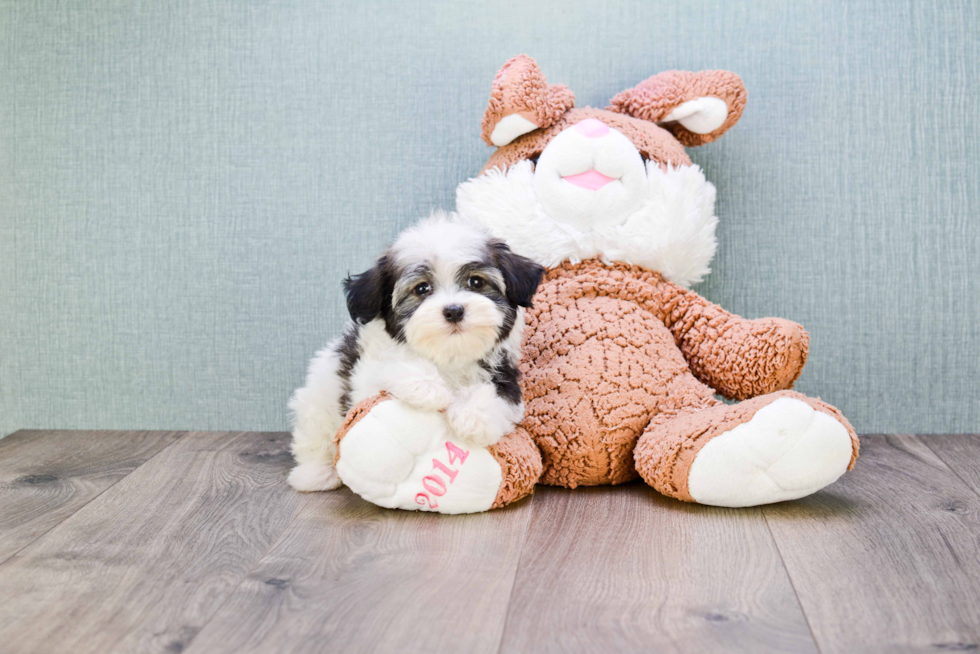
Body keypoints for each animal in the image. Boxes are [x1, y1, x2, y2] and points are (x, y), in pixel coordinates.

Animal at [288, 213, 548, 494]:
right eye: (422, 289)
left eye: (476, 282)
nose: (454, 310)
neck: (448, 357)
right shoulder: (365, 382)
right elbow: (392, 363)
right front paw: (426, 387)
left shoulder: (505, 376)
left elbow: (499, 397)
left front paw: (473, 417)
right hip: (319, 399)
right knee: (315, 437)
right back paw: (315, 473)